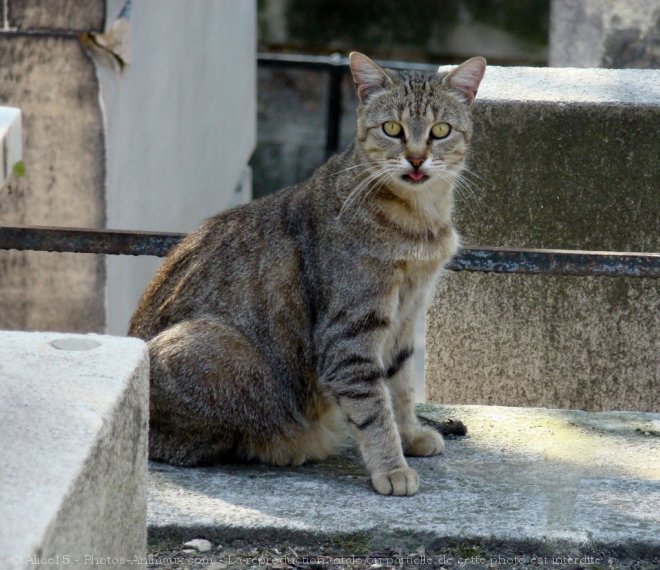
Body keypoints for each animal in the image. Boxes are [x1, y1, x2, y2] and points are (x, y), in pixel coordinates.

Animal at [130, 51, 490, 492]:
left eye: (440, 131)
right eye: (392, 128)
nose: (417, 158)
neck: (419, 219)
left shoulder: (404, 319)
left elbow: (401, 386)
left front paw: (410, 434)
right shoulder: (350, 333)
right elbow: (373, 407)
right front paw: (392, 467)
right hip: (214, 350)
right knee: (191, 444)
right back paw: (289, 444)